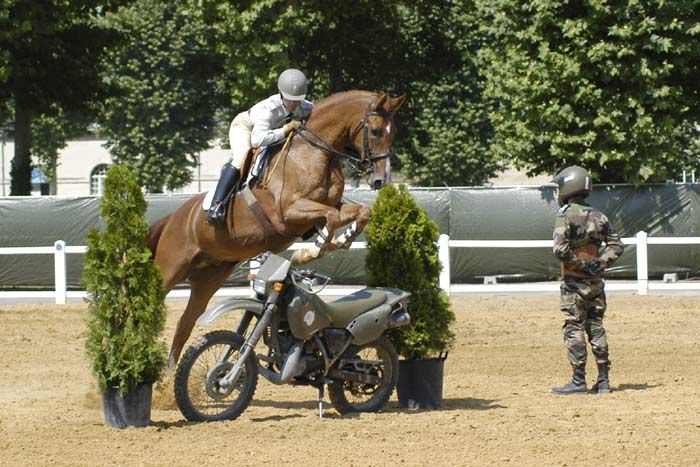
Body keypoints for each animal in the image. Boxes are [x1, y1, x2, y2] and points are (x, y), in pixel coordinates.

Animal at [150, 91, 408, 368]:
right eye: (376, 130)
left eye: (394, 133)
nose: (381, 181)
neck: (312, 153)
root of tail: (174, 217)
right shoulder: (288, 212)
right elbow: (331, 218)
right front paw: (308, 253)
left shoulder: (327, 207)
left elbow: (359, 212)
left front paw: (341, 241)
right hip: (170, 268)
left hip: (209, 277)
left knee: (187, 321)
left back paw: (170, 371)